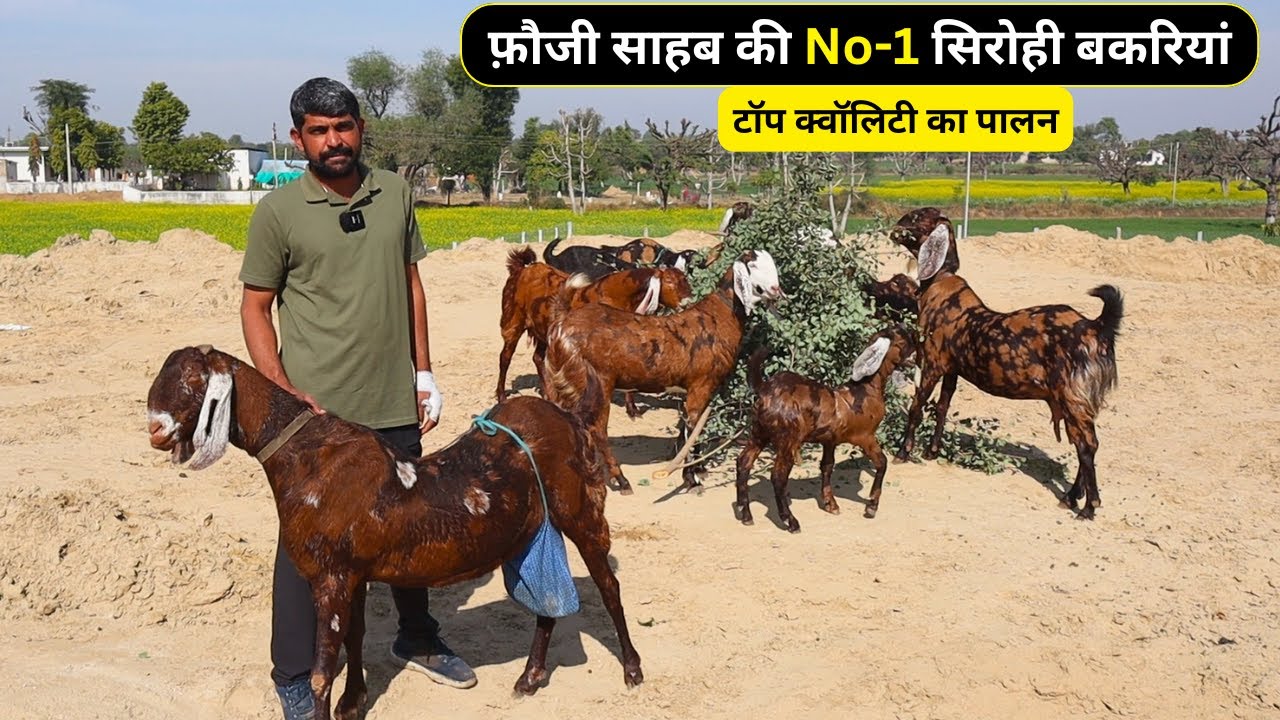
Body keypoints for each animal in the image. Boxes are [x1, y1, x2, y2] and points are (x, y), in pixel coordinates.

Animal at [145, 345, 643, 719]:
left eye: (193, 384)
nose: (155, 431)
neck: (305, 456)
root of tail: (569, 418)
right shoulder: (353, 574)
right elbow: (355, 638)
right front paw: (352, 703)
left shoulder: (331, 577)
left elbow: (321, 672)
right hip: (528, 530)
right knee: (545, 598)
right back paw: (531, 677)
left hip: (580, 512)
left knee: (608, 584)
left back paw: (632, 670)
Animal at [497, 247, 692, 418]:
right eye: (670, 282)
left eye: (685, 280)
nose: (689, 301)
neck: (615, 297)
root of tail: (522, 269)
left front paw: (633, 409)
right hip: (512, 322)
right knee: (505, 357)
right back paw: (501, 396)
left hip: (544, 331)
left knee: (538, 358)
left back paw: (549, 396)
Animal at [545, 250, 784, 495]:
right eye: (753, 265)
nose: (776, 289)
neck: (720, 315)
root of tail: (562, 324)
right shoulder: (700, 384)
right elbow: (692, 427)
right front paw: (691, 479)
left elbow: (696, 426)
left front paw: (698, 470)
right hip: (596, 383)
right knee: (597, 429)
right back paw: (621, 480)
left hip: (567, 383)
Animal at [734, 324, 918, 531]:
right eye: (902, 342)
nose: (916, 355)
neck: (866, 390)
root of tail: (765, 389)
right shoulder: (866, 436)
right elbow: (882, 462)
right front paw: (871, 506)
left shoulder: (830, 440)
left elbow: (827, 466)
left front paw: (830, 504)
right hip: (788, 438)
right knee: (778, 476)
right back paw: (790, 521)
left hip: (759, 432)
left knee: (743, 462)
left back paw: (745, 514)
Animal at [897, 221, 1124, 520]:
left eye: (918, 218)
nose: (895, 228)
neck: (940, 289)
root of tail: (1097, 327)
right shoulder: (952, 370)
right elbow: (942, 408)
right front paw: (932, 452)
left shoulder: (933, 364)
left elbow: (917, 407)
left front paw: (903, 452)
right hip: (1080, 401)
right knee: (1084, 444)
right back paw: (1071, 497)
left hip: (1073, 397)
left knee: (1087, 445)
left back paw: (1088, 506)